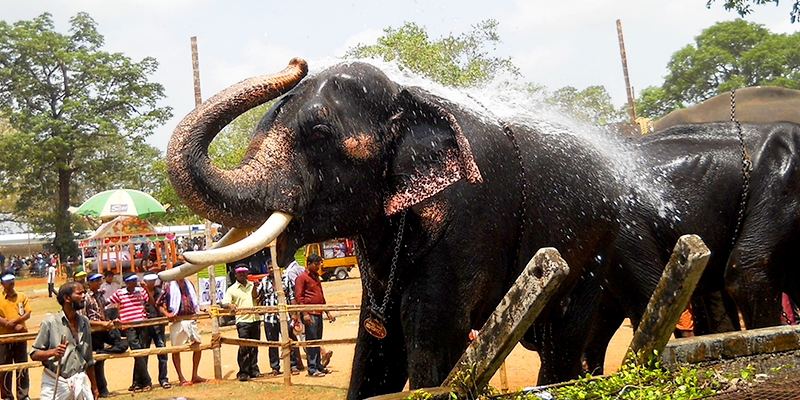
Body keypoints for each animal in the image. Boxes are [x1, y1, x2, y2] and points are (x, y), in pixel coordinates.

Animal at [162, 58, 625, 398]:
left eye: (319, 132)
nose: (297, 61)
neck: (408, 99)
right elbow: (376, 342)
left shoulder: (468, 218)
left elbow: (430, 331)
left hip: (594, 247)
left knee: (566, 334)